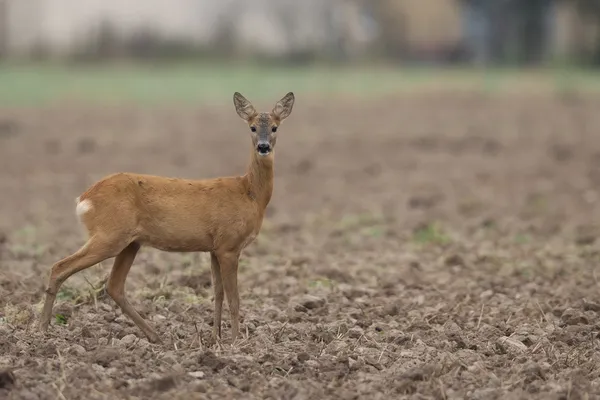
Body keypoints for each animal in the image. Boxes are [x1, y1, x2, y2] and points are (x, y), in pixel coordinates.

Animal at [37, 91, 296, 344]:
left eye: (275, 127)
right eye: (252, 127)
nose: (263, 146)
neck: (249, 193)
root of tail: (84, 198)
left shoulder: (215, 248)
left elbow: (218, 293)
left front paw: (215, 339)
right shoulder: (229, 245)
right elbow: (234, 297)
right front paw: (236, 342)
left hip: (130, 243)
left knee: (114, 286)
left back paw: (155, 336)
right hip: (109, 235)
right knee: (59, 267)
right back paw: (43, 330)